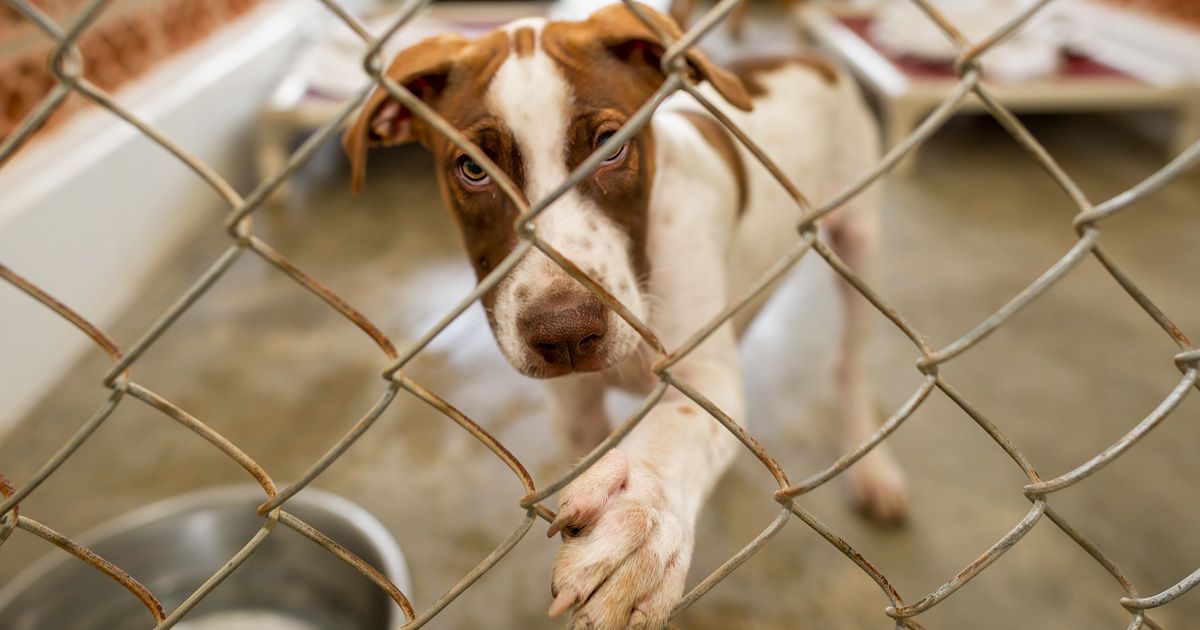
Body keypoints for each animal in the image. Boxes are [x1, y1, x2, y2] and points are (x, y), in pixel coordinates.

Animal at [343, 3, 902, 624]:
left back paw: (873, 470)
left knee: (851, 361)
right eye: (471, 168)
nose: (565, 334)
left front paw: (642, 521)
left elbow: (677, 430)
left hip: (860, 239)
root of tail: (805, 55)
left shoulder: (701, 375)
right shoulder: (574, 407)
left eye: (612, 146)